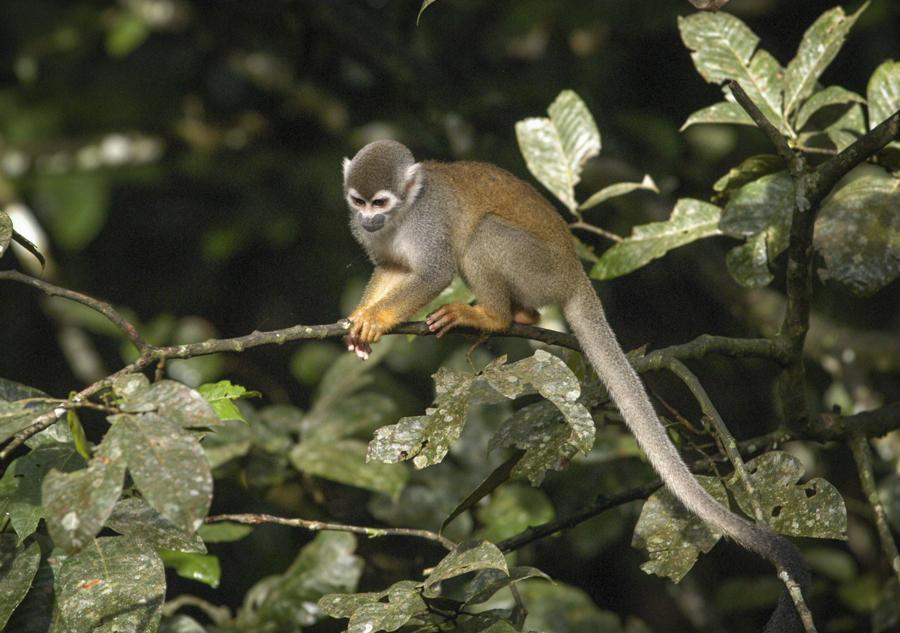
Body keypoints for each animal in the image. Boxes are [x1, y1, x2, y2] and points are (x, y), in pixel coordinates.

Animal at [342, 141, 808, 628]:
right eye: (360, 202)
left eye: (381, 203)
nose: (369, 220)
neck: (402, 216)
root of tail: (574, 274)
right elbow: (392, 268)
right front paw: (361, 318)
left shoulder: (427, 224)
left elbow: (433, 272)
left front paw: (376, 319)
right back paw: (520, 315)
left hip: (538, 269)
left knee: (482, 234)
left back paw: (496, 316)